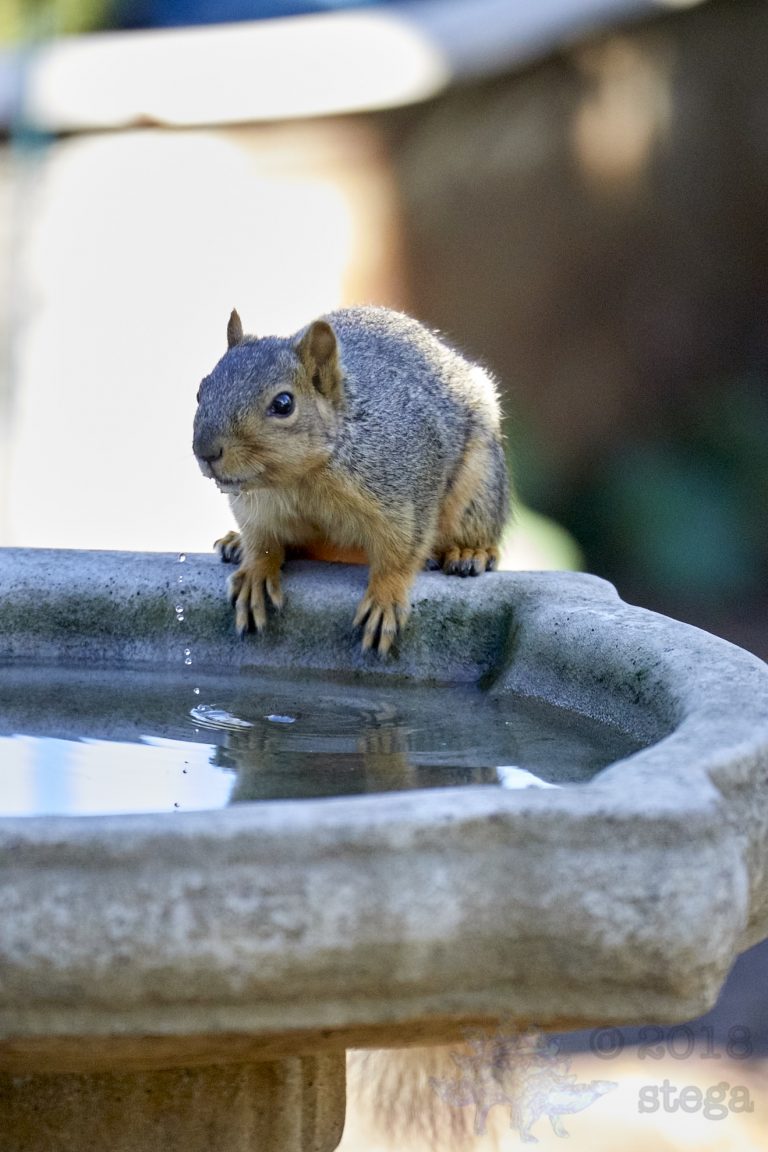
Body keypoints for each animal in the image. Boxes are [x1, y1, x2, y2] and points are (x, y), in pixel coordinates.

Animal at [193, 306, 510, 655]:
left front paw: (385, 597)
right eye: (201, 390)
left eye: (283, 404)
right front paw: (254, 573)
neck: (300, 478)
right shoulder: (257, 509)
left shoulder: (405, 494)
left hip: (479, 486)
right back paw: (234, 543)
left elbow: (400, 552)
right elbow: (261, 542)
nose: (205, 450)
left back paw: (470, 553)